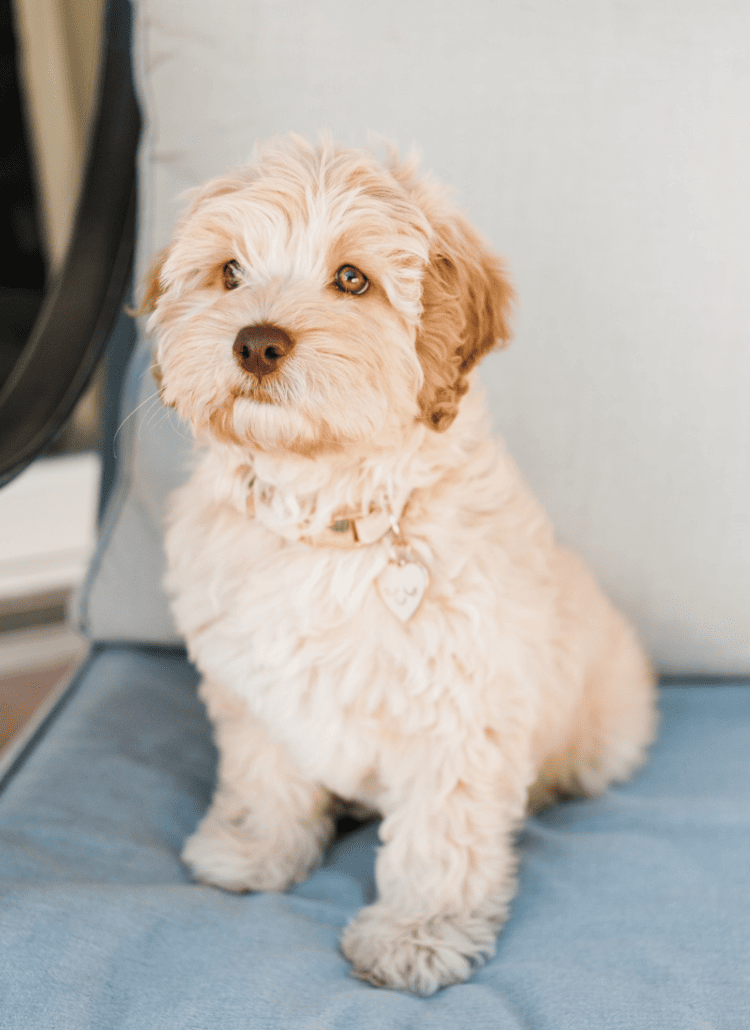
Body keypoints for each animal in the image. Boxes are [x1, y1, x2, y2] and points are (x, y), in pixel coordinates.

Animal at [142, 132, 655, 992]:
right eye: (230, 272)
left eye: (353, 279)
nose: (255, 342)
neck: (324, 508)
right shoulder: (250, 680)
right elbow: (263, 774)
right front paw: (254, 849)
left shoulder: (462, 707)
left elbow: (443, 834)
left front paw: (418, 932)